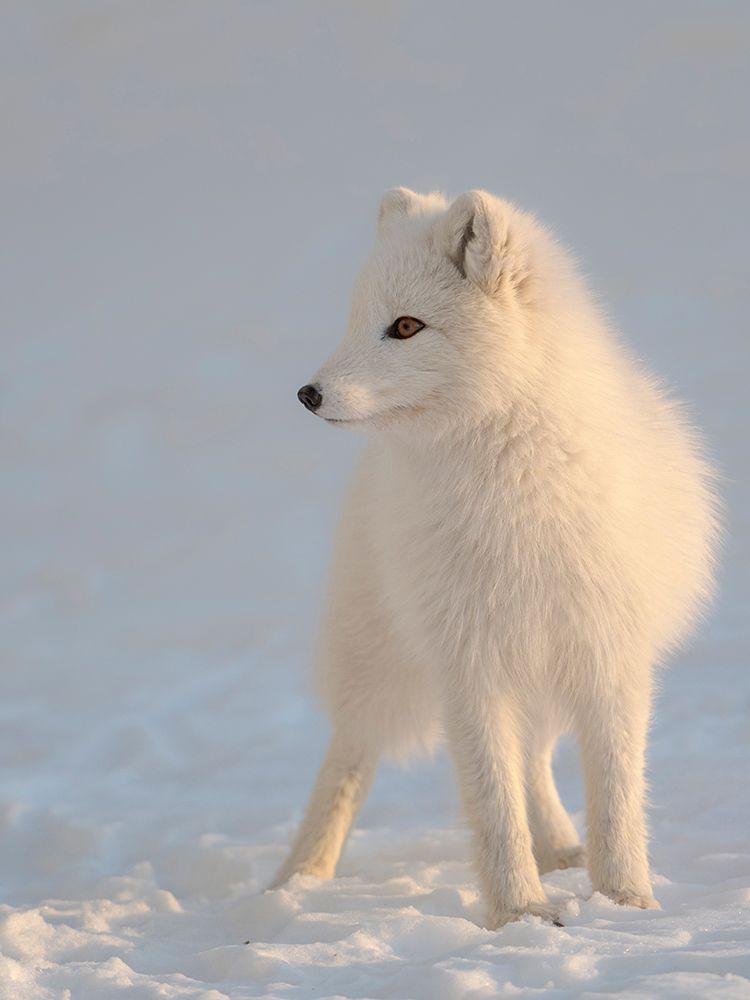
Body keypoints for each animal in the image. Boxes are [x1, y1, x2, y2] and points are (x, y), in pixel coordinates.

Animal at [274, 188, 719, 928]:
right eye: (356, 320)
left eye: (405, 326)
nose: (308, 395)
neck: (514, 494)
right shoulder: (466, 662)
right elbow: (491, 802)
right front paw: (518, 914)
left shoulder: (609, 654)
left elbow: (616, 798)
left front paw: (626, 903)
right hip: (387, 663)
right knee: (350, 757)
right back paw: (297, 881)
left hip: (534, 671)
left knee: (534, 761)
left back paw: (562, 849)